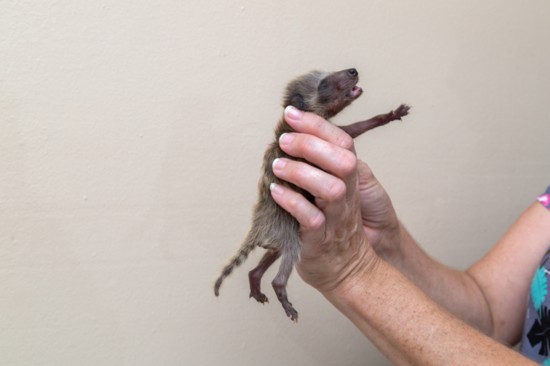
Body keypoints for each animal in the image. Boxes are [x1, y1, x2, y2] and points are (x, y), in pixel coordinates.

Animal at [215, 68, 410, 320]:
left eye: (327, 74)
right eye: (324, 84)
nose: (353, 71)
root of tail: (257, 225)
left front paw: (390, 115)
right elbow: (356, 129)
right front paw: (385, 117)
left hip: (278, 236)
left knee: (267, 259)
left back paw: (255, 278)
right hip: (286, 228)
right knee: (286, 260)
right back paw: (280, 289)